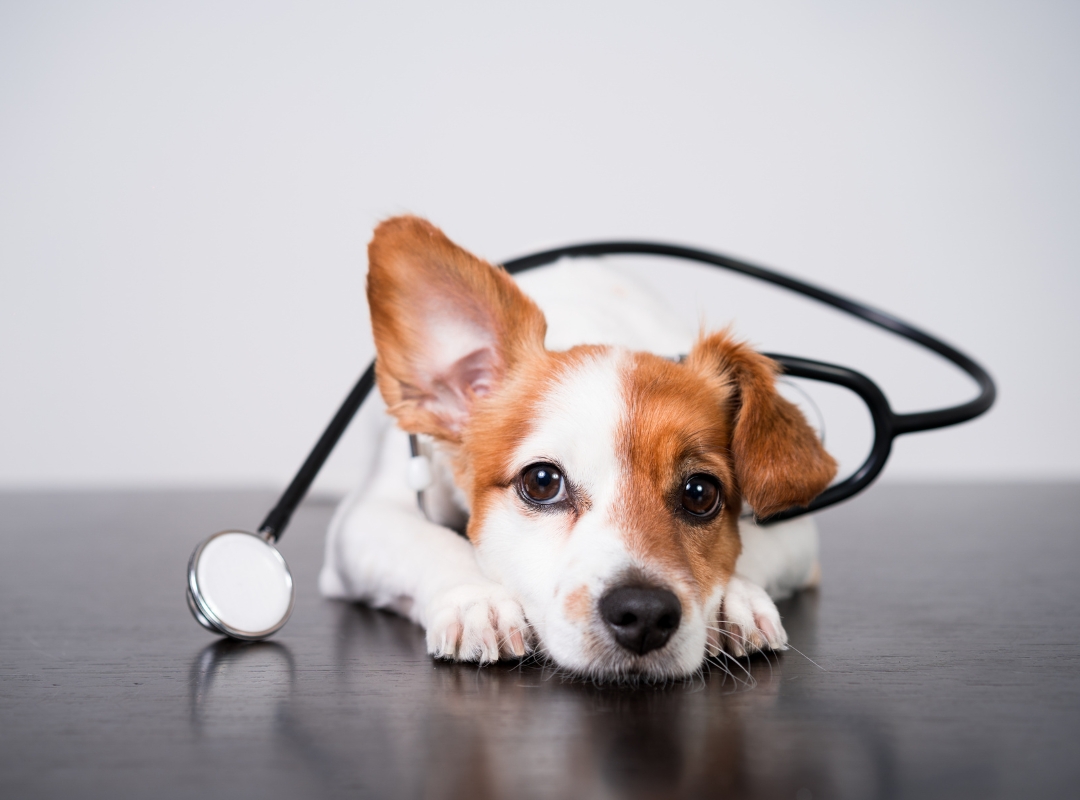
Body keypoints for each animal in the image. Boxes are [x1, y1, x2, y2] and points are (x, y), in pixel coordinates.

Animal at [315, 214, 838, 678]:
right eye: (542, 482)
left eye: (701, 493)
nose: (644, 613)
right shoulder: (366, 517)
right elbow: (432, 542)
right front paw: (477, 598)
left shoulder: (796, 532)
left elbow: (755, 547)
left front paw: (736, 598)